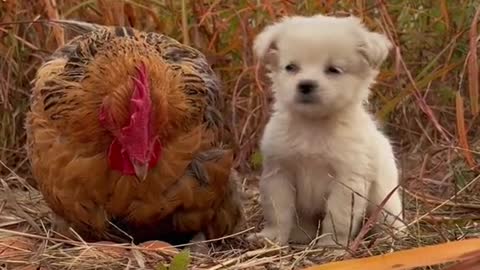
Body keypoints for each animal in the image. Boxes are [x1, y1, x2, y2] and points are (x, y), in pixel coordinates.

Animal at [251, 13, 404, 248]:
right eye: (291, 67)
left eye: (333, 70)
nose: (306, 85)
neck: (313, 125)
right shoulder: (279, 174)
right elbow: (278, 212)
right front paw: (272, 237)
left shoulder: (347, 181)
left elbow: (337, 217)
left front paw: (332, 245)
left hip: (384, 200)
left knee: (388, 219)